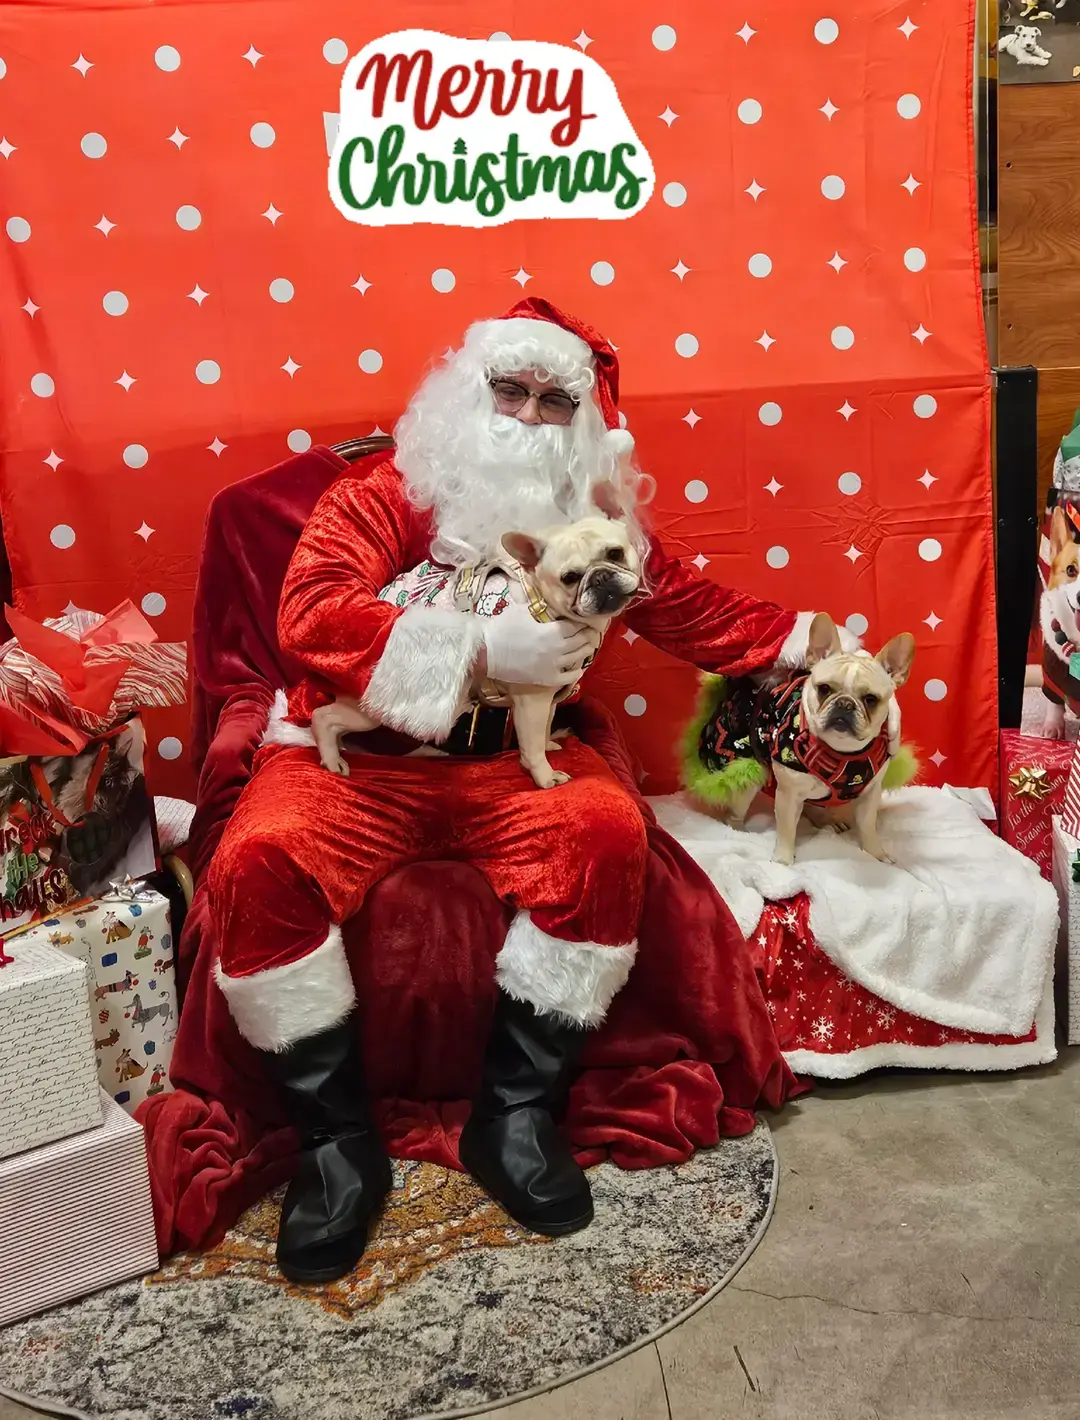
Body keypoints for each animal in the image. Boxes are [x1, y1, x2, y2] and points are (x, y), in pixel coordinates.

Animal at [312, 494, 635, 795]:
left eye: (615, 553)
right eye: (570, 578)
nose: (600, 576)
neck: (542, 600)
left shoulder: (551, 698)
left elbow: (545, 728)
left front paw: (549, 745)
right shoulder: (532, 701)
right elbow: (532, 745)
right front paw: (544, 776)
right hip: (371, 707)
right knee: (323, 717)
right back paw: (331, 758)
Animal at [686, 610, 913, 863]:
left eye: (871, 699)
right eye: (824, 689)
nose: (844, 704)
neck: (842, 752)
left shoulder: (869, 796)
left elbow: (868, 827)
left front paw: (876, 854)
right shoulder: (788, 796)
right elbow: (787, 831)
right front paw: (783, 861)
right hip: (747, 777)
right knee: (737, 808)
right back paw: (738, 833)